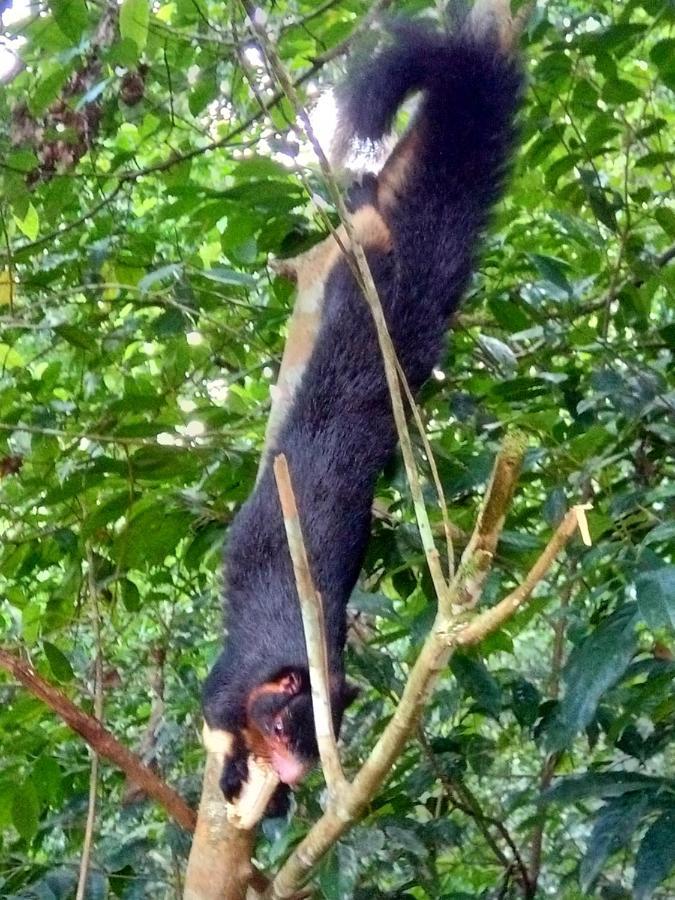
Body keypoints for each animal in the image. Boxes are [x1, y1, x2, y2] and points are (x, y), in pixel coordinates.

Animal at [203, 0, 524, 816]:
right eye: (282, 728)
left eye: (320, 747)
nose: (292, 776)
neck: (293, 660)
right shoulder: (231, 684)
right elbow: (215, 721)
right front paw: (237, 774)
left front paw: (273, 802)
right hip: (359, 280)